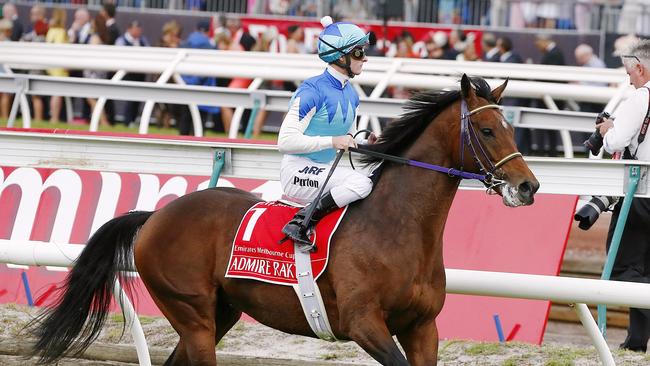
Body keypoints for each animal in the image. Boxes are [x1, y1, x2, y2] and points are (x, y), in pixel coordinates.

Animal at [29, 75, 536, 366]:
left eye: (513, 128)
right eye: (487, 130)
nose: (528, 186)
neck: (399, 228)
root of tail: (157, 214)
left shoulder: (422, 327)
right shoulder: (363, 324)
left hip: (221, 312)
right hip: (192, 314)